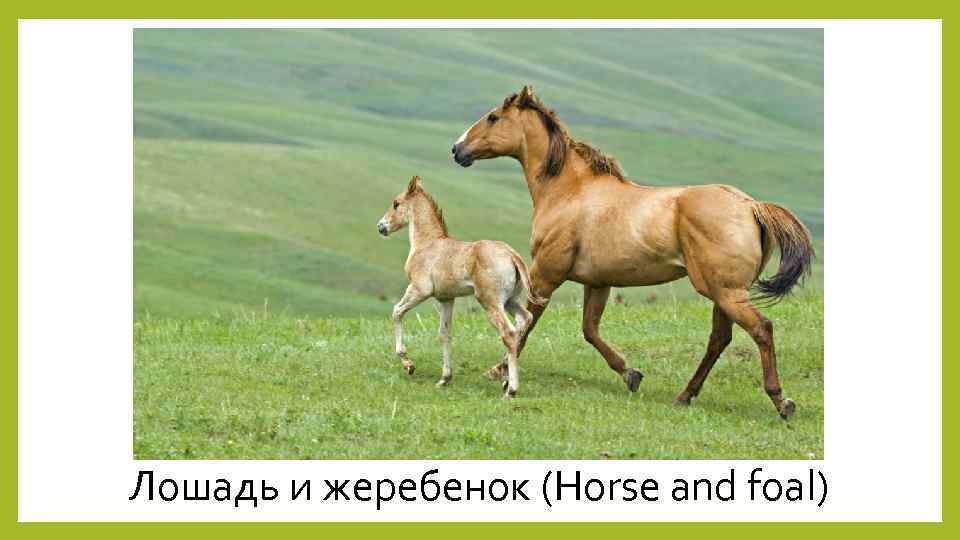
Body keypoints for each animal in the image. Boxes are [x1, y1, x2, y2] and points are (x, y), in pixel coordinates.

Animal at [377, 175, 543, 398]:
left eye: (396, 203)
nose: (381, 226)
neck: (427, 244)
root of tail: (511, 255)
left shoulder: (419, 290)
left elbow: (397, 312)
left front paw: (408, 364)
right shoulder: (446, 299)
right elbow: (445, 334)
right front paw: (445, 379)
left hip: (490, 302)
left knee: (508, 333)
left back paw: (511, 389)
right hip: (510, 301)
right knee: (524, 320)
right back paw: (505, 379)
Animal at [450, 86, 815, 419]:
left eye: (493, 117)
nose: (457, 149)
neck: (568, 192)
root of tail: (751, 206)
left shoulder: (545, 274)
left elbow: (526, 325)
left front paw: (499, 372)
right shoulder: (597, 283)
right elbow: (590, 330)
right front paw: (630, 374)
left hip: (725, 292)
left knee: (761, 329)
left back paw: (781, 401)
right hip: (723, 292)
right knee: (719, 339)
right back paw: (685, 395)